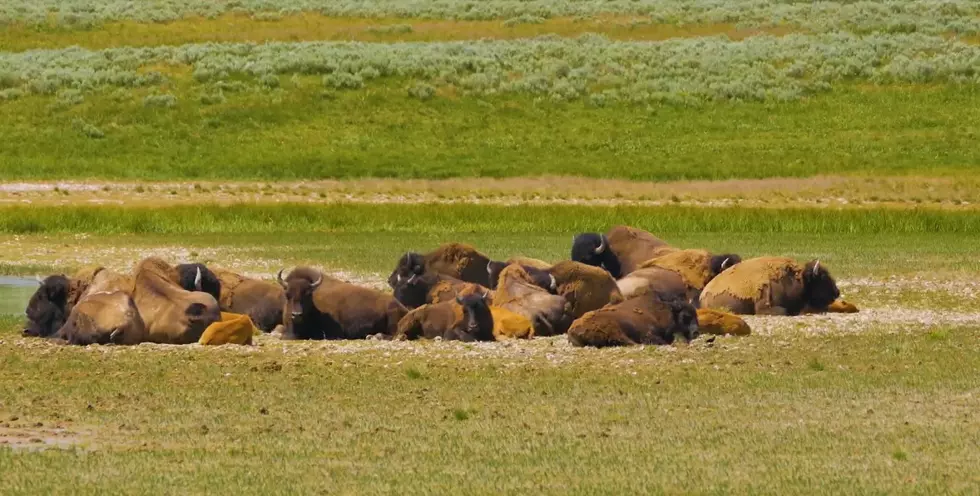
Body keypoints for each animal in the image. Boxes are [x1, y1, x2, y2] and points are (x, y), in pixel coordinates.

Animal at [564, 292, 700, 346]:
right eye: (686, 316)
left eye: (696, 316)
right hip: (616, 330)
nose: (696, 332)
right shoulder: (648, 333)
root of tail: (572, 330)